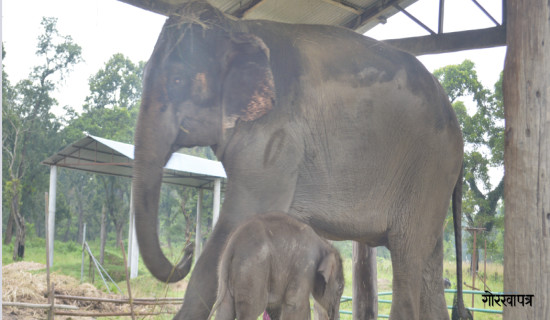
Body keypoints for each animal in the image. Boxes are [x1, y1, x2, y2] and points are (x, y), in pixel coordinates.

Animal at [210, 211, 344, 318]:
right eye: (340, 288)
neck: (324, 244)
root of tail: (233, 243)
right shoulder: (305, 267)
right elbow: (295, 303)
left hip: (225, 273)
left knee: (225, 308)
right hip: (253, 271)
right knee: (252, 308)